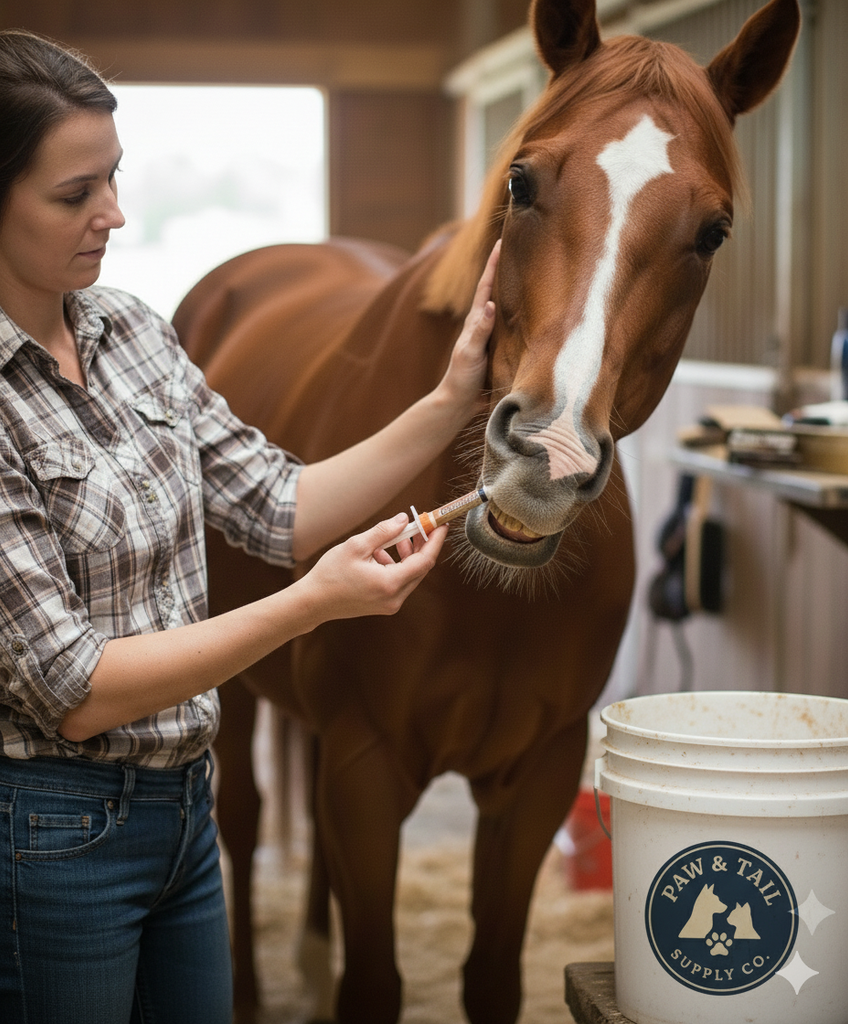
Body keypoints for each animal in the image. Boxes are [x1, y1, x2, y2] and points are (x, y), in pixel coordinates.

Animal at [171, 1, 800, 1020]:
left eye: (713, 231)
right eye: (521, 181)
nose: (548, 456)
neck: (484, 596)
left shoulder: (535, 777)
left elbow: (491, 977)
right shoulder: (366, 770)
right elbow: (374, 983)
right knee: (243, 819)